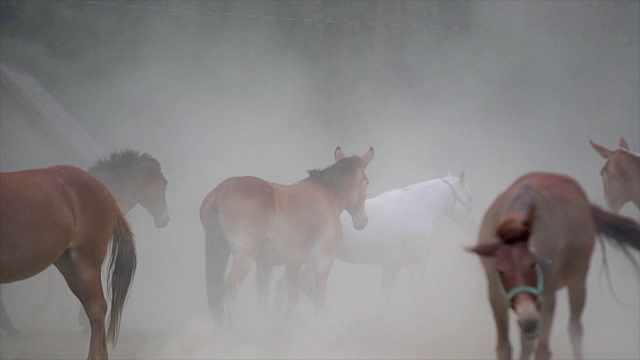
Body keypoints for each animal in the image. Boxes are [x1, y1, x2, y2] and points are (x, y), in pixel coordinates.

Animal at [201, 146, 376, 326]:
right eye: (367, 182)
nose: (363, 221)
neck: (326, 195)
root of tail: (220, 191)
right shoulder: (324, 260)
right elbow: (317, 298)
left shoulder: (288, 262)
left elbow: (279, 297)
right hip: (243, 257)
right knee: (230, 288)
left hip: (222, 251)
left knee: (216, 289)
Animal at [264, 171, 470, 306]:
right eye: (470, 197)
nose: (470, 224)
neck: (417, 207)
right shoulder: (417, 265)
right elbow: (418, 297)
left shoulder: (390, 266)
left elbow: (385, 297)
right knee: (302, 285)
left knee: (284, 287)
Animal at [464, 172, 640, 360]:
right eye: (500, 270)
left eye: (533, 264)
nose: (528, 320)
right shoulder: (496, 297)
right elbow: (504, 348)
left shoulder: (547, 297)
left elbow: (543, 351)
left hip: (578, 282)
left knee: (575, 329)